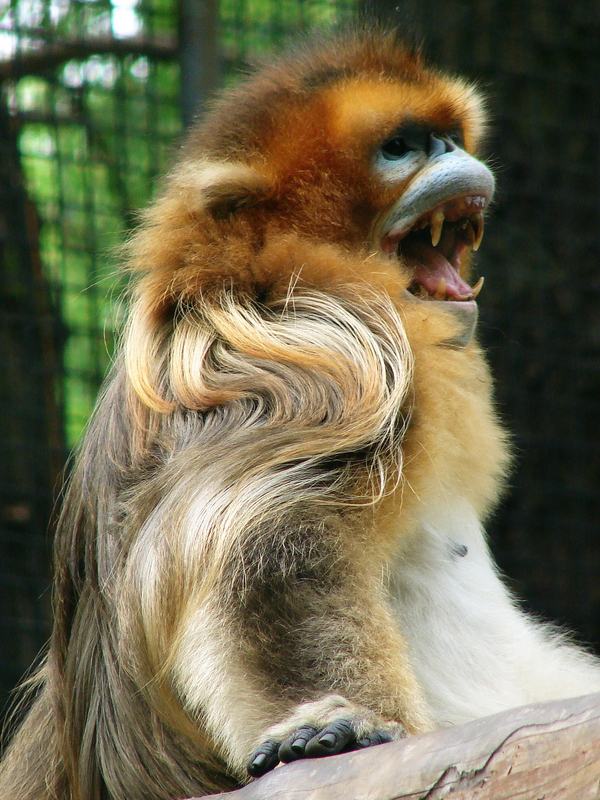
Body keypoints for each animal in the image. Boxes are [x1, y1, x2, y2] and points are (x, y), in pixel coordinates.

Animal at [2, 26, 600, 800]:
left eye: (447, 136)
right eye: (402, 147)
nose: (452, 155)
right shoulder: (326, 355)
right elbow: (267, 554)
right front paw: (333, 726)